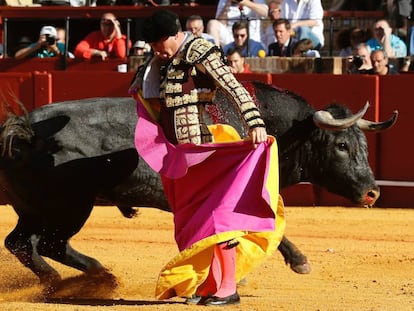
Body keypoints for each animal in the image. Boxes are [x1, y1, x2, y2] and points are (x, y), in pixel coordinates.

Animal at [0, 81, 396, 286]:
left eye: (363, 145)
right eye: (342, 146)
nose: (372, 192)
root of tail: (26, 129)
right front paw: (299, 261)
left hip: (35, 208)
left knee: (23, 243)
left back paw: (77, 279)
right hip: (71, 206)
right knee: (47, 243)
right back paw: (88, 279)